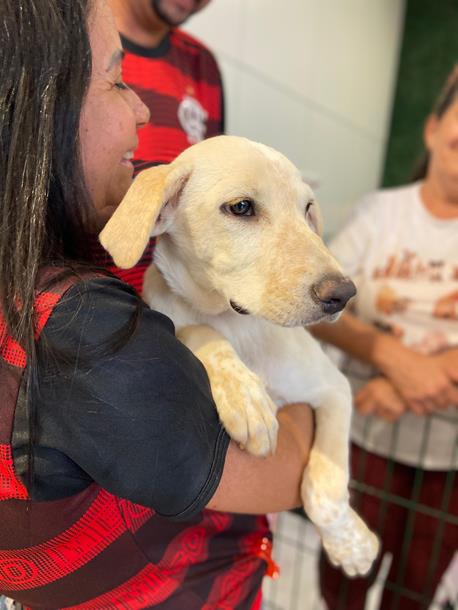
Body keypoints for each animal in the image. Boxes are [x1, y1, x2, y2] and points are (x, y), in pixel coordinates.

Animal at [100, 134, 380, 576]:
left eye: (307, 209)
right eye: (242, 207)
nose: (342, 295)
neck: (238, 323)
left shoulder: (335, 388)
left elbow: (326, 485)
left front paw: (351, 545)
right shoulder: (179, 312)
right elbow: (199, 331)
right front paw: (247, 398)